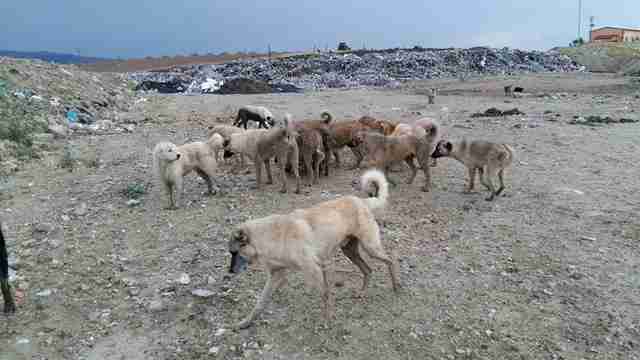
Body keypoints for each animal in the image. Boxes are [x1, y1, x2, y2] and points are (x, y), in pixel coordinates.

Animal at [226, 169, 400, 330]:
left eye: (234, 253)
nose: (230, 272)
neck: (270, 237)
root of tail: (363, 201)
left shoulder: (315, 268)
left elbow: (325, 294)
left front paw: (327, 321)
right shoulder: (277, 275)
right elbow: (260, 303)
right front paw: (245, 322)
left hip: (371, 248)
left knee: (390, 261)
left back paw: (396, 286)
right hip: (350, 251)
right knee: (368, 270)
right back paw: (362, 293)